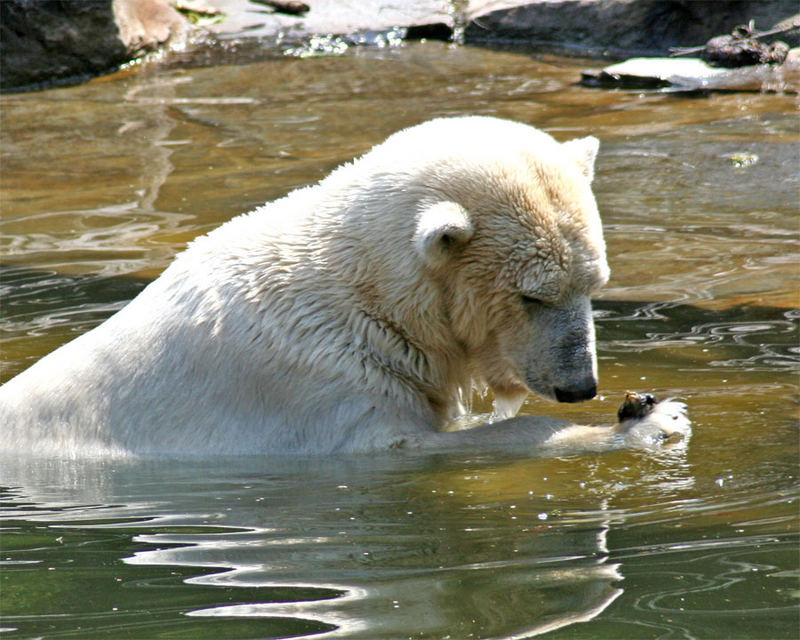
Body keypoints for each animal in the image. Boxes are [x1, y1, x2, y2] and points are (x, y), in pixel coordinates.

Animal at [0, 115, 688, 456]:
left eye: (594, 283)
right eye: (532, 295)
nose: (580, 386)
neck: (368, 291)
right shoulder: (320, 374)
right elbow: (412, 446)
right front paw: (649, 420)